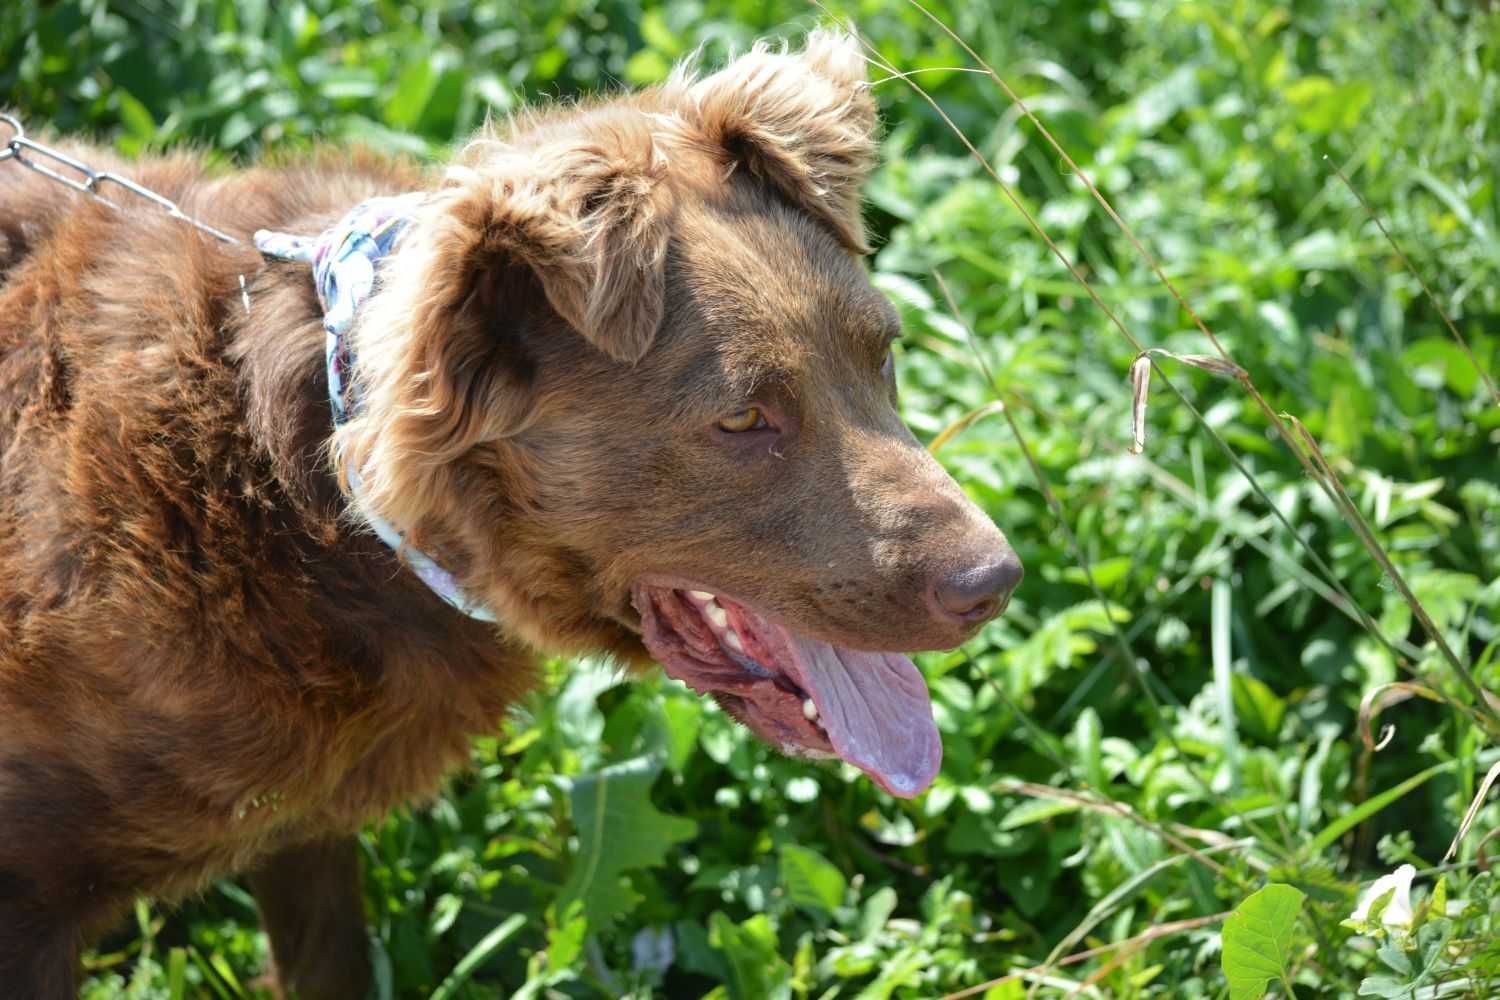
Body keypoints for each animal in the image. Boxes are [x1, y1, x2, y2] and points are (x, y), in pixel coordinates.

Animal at [0, 35, 1020, 995]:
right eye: (743, 419)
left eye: (882, 355)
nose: (995, 583)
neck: (294, 493)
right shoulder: (33, 897)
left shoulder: (301, 830)